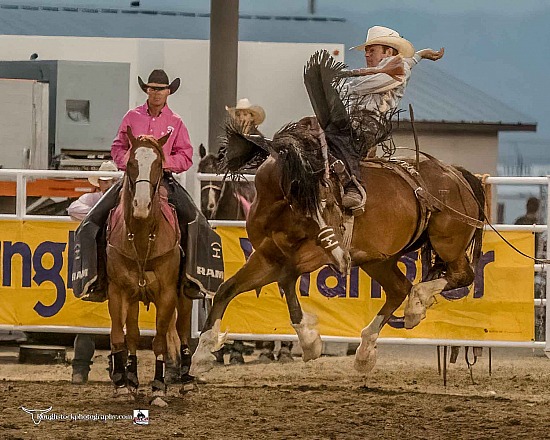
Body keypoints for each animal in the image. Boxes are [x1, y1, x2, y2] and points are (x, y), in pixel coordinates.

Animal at [108, 126, 194, 402]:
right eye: (131, 163)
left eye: (158, 164)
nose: (142, 206)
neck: (143, 236)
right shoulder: (118, 292)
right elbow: (120, 336)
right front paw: (122, 383)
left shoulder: (167, 295)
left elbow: (159, 341)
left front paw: (158, 386)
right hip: (134, 297)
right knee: (134, 334)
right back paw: (132, 377)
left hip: (184, 295)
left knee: (182, 330)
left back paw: (186, 378)